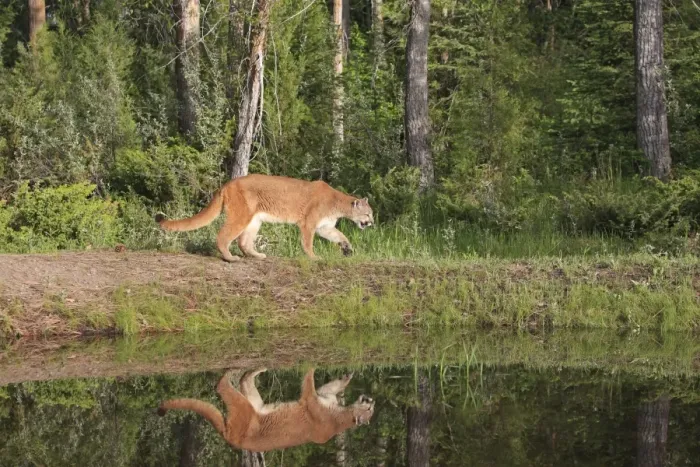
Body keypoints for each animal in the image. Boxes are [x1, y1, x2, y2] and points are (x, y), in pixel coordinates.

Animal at [154, 174, 374, 261]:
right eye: (368, 213)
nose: (372, 223)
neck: (338, 203)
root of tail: (227, 183)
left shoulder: (324, 226)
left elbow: (340, 235)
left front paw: (347, 248)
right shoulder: (309, 223)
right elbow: (307, 243)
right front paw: (313, 257)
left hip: (255, 220)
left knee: (244, 242)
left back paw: (257, 255)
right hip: (241, 215)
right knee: (223, 236)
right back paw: (230, 258)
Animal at [157, 367, 376, 452]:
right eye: (370, 408)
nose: (371, 399)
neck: (342, 415)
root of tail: (228, 436)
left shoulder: (310, 399)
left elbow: (308, 381)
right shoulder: (322, 394)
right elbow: (327, 385)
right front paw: (347, 376)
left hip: (243, 407)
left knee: (221, 385)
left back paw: (234, 371)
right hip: (253, 401)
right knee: (244, 380)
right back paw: (255, 369)